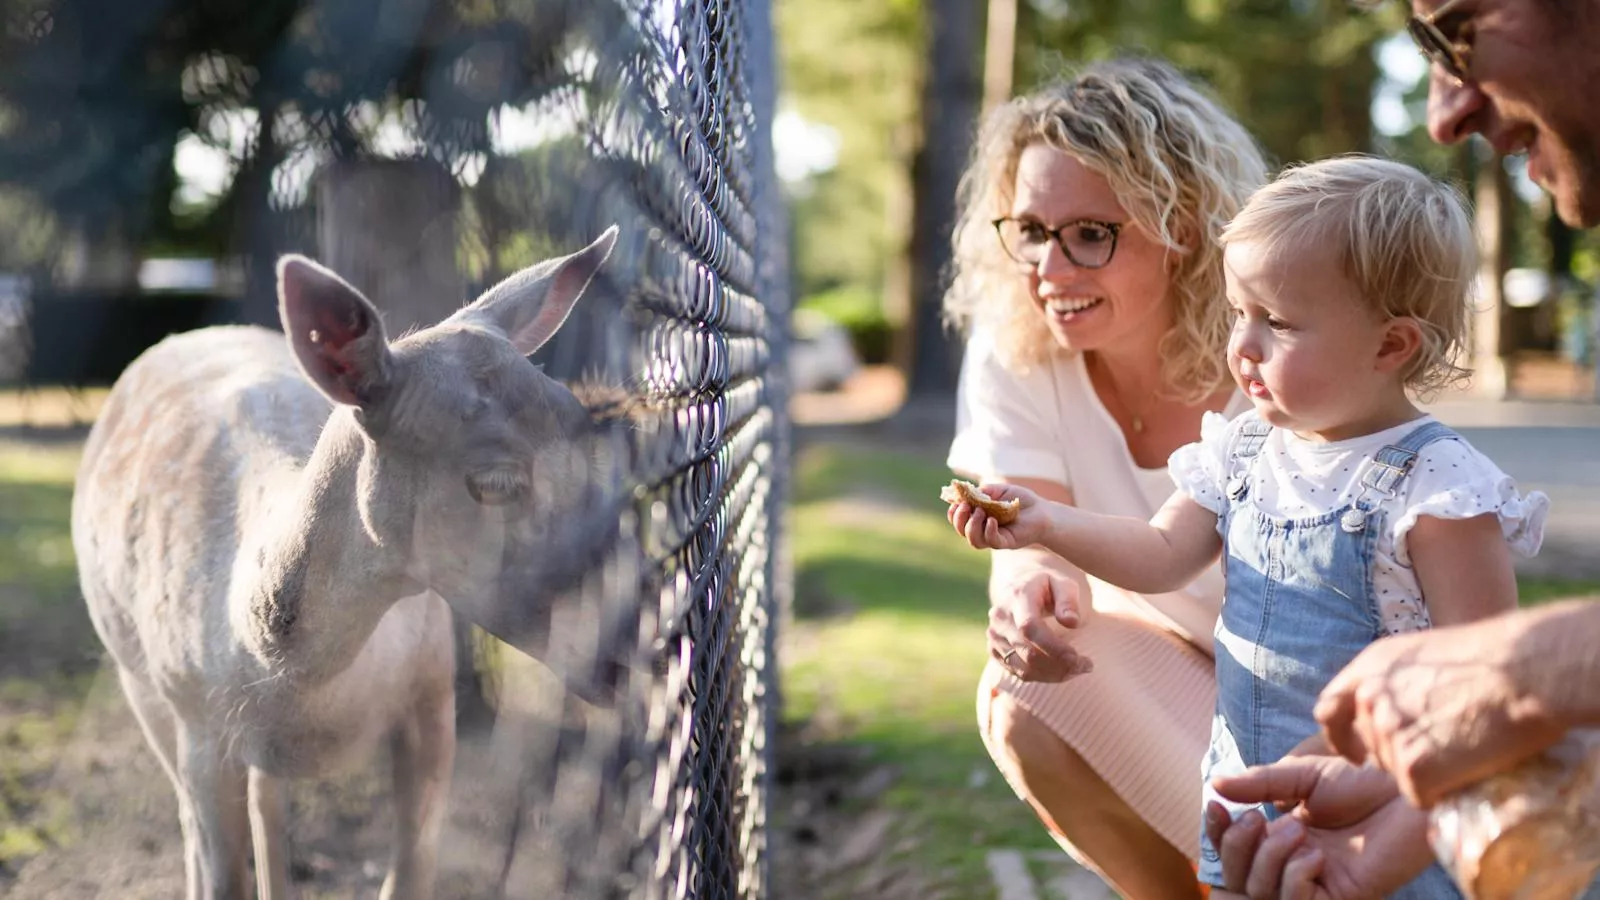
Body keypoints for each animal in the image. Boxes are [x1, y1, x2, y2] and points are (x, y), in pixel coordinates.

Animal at [72, 227, 630, 890]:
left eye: (589, 429)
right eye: (493, 482)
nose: (630, 642)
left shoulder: (432, 687)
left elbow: (410, 872)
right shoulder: (197, 721)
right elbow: (219, 870)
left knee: (267, 799)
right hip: (140, 681)